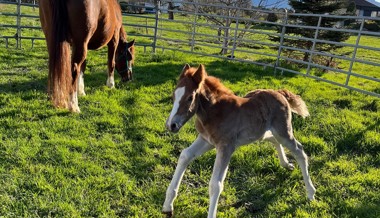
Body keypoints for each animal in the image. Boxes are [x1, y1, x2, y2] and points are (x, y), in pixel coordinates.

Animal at [162, 63, 316, 217]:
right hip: (263, 132)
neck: (216, 111)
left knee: (299, 151)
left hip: (283, 131)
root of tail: (279, 93)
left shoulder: (226, 147)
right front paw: (167, 207)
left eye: (190, 97)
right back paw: (286, 164)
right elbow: (185, 155)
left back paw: (310, 192)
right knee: (274, 140)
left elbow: (215, 184)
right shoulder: (206, 140)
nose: (171, 125)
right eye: (174, 95)